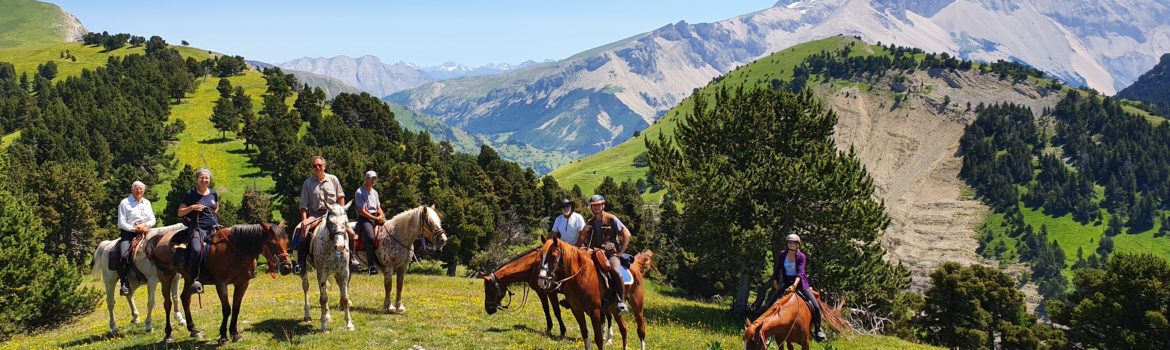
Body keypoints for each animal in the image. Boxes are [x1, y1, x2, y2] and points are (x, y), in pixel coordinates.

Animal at [150, 222, 292, 346]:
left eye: (287, 242)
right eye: (273, 243)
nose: (287, 267)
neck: (236, 249)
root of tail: (162, 238)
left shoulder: (242, 284)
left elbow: (236, 308)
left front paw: (235, 334)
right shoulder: (221, 284)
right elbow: (226, 309)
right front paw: (223, 336)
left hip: (189, 278)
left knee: (185, 298)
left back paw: (193, 330)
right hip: (166, 276)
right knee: (167, 304)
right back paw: (168, 334)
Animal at [297, 202, 355, 332]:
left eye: (346, 222)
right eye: (330, 222)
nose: (340, 246)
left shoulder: (344, 272)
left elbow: (345, 298)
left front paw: (349, 324)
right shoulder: (322, 272)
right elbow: (323, 298)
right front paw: (324, 325)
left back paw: (328, 315)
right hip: (307, 270)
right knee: (306, 287)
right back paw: (307, 315)